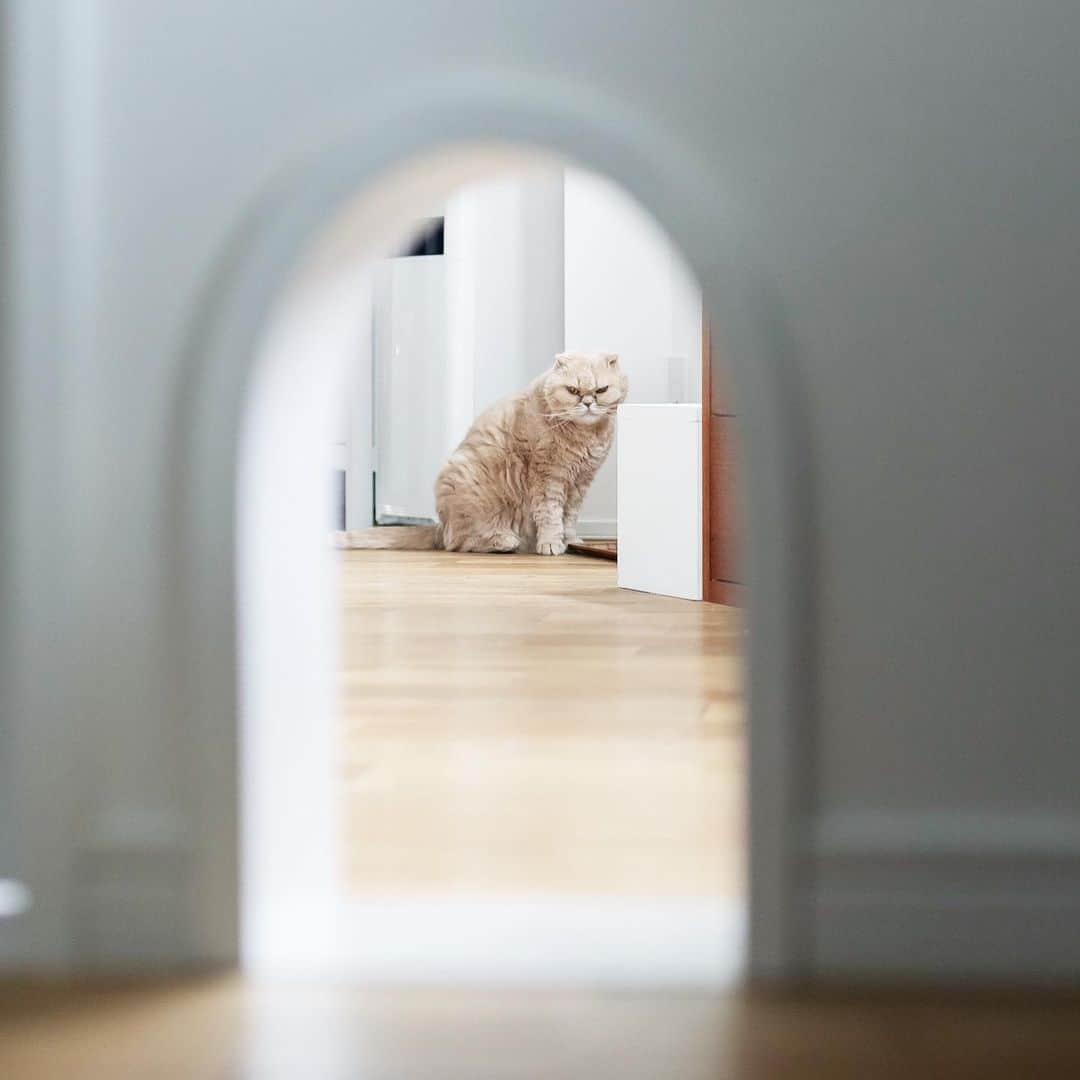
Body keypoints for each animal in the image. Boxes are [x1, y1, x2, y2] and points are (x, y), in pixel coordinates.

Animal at [332, 352, 630, 557]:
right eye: (573, 390)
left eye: (601, 390)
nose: (588, 403)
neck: (584, 435)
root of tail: (440, 525)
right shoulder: (547, 479)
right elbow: (550, 514)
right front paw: (550, 544)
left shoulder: (579, 483)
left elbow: (568, 518)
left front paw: (571, 541)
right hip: (464, 484)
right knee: (460, 542)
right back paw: (504, 541)